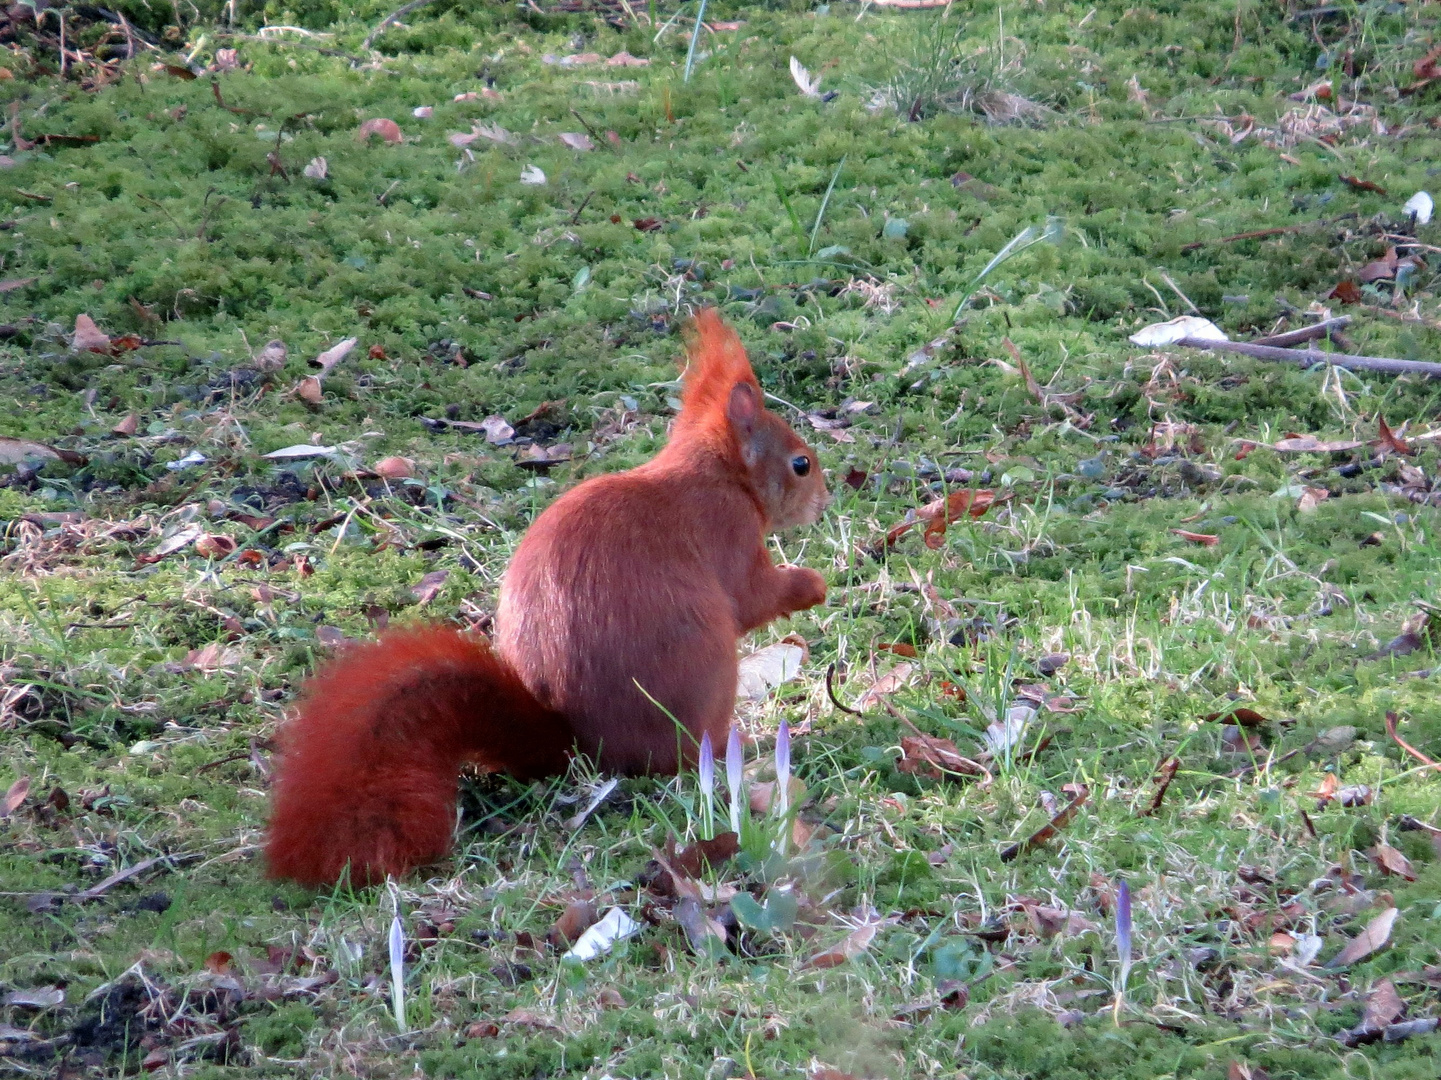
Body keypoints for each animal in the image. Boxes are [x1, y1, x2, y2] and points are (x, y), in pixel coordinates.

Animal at [265, 310, 830, 882]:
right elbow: (752, 597)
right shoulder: (727, 530)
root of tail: (582, 745)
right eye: (801, 464)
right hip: (705, 674)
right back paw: (747, 747)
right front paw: (811, 584)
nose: (826, 501)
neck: (719, 474)